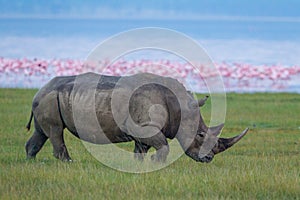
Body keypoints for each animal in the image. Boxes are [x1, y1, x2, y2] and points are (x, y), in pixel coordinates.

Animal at [25, 72, 250, 163]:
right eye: (201, 135)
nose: (209, 159)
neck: (180, 106)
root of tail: (40, 89)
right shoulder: (143, 126)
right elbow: (163, 145)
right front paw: (155, 163)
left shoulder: (143, 126)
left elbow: (141, 149)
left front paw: (141, 165)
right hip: (49, 98)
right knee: (55, 131)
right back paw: (69, 163)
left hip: (49, 98)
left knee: (42, 132)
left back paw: (31, 162)